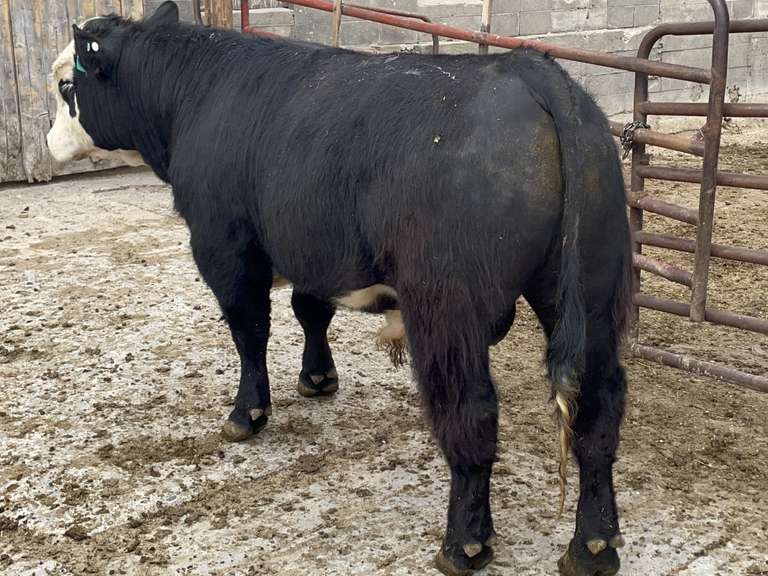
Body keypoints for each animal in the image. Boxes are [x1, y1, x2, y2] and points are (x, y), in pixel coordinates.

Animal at [46, 3, 632, 575]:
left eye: (63, 84)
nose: (48, 141)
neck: (198, 93)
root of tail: (529, 68)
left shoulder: (225, 247)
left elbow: (249, 331)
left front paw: (247, 414)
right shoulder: (313, 251)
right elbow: (310, 310)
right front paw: (318, 377)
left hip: (447, 307)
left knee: (472, 411)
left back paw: (464, 544)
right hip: (589, 292)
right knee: (597, 409)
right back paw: (593, 546)